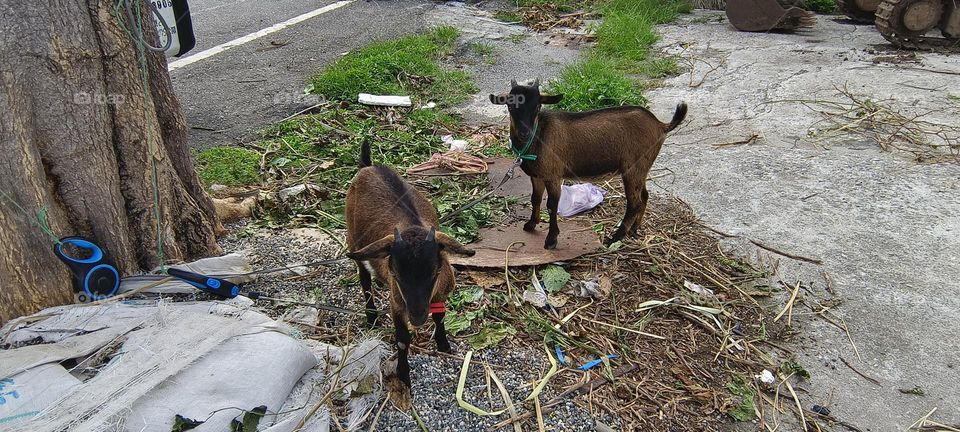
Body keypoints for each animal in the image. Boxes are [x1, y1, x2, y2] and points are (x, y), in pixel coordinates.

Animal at [344, 139, 475, 393]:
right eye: (396, 274)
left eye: (435, 272)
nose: (416, 316)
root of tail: (368, 166)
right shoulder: (397, 302)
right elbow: (402, 339)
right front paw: (403, 375)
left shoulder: (440, 294)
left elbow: (440, 317)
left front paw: (444, 345)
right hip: (354, 239)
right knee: (364, 277)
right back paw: (371, 316)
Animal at [490, 79, 687, 249]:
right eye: (510, 105)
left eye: (538, 106)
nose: (525, 132)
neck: (539, 136)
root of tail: (660, 125)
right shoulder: (537, 176)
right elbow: (535, 199)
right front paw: (531, 224)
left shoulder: (554, 175)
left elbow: (552, 205)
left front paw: (551, 239)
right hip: (641, 168)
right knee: (644, 196)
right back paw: (634, 229)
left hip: (633, 168)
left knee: (634, 202)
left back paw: (615, 237)